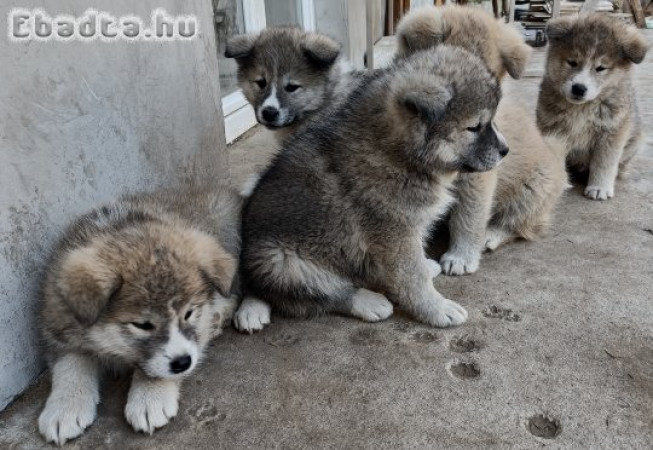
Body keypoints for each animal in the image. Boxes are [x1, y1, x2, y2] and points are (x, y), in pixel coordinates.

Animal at [36, 185, 239, 444]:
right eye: (143, 325)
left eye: (189, 313)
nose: (182, 363)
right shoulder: (58, 327)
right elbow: (70, 366)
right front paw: (65, 409)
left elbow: (155, 368)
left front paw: (149, 398)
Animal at [241, 47, 510, 330]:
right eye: (474, 127)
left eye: (491, 121)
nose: (505, 150)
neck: (399, 154)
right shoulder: (396, 234)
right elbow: (412, 277)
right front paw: (437, 309)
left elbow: (412, 267)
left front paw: (426, 275)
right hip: (281, 262)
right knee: (323, 294)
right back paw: (368, 302)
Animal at [536, 14, 648, 200]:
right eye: (572, 62)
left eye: (600, 68)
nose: (579, 88)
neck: (582, 108)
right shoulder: (553, 129)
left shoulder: (612, 132)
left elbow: (604, 162)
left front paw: (599, 187)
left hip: (635, 142)